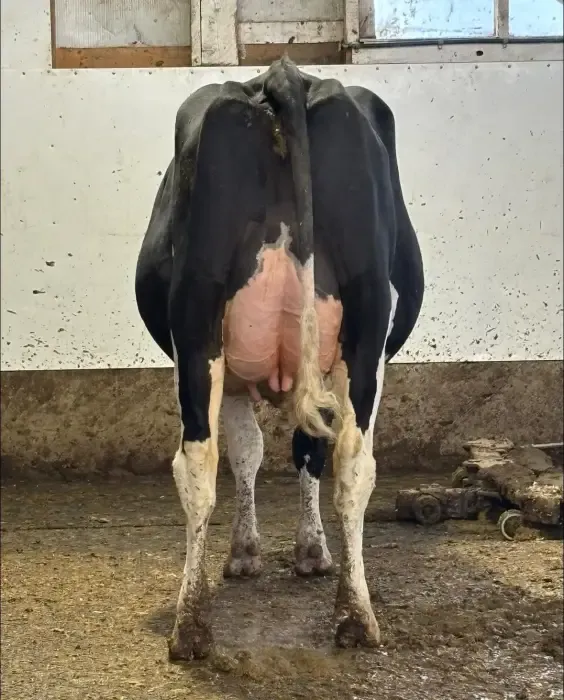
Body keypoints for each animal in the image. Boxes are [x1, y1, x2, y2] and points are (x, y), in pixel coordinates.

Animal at [135, 57, 424, 661]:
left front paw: (261, 550)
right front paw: (299, 550)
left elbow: (255, 452)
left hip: (198, 325)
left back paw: (192, 625)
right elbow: (279, 452)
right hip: (364, 327)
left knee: (199, 463)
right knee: (352, 462)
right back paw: (354, 615)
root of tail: (282, 75)